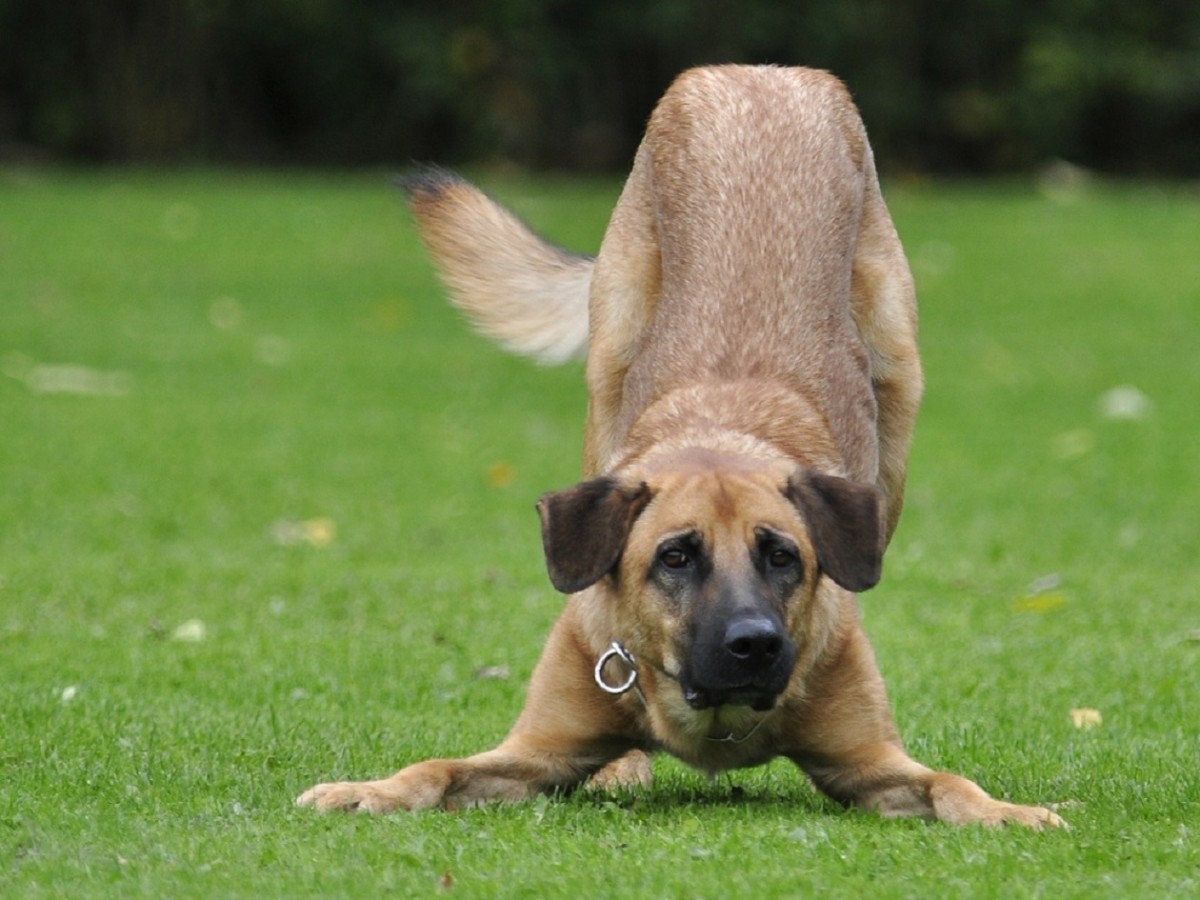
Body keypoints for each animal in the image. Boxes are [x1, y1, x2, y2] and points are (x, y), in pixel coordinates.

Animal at [295, 65, 1065, 830]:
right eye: (675, 556)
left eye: (783, 555)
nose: (755, 644)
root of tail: (761, 73)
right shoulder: (534, 750)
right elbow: (435, 768)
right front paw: (366, 790)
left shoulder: (872, 761)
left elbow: (951, 785)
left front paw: (1011, 810)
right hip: (608, 367)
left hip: (896, 395)